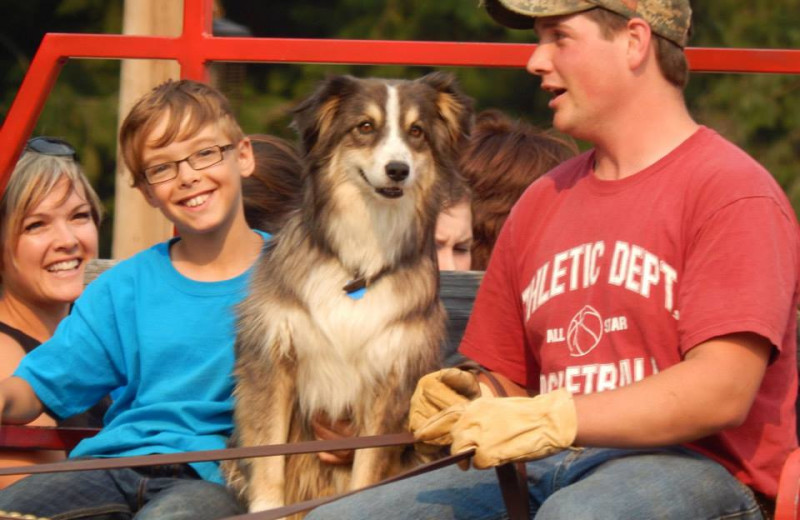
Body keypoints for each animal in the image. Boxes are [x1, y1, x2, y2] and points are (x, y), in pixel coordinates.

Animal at [223, 74, 476, 516]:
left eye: (416, 132)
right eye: (365, 126)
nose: (398, 170)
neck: (360, 260)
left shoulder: (391, 377)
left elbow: (368, 469)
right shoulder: (272, 359)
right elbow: (268, 456)